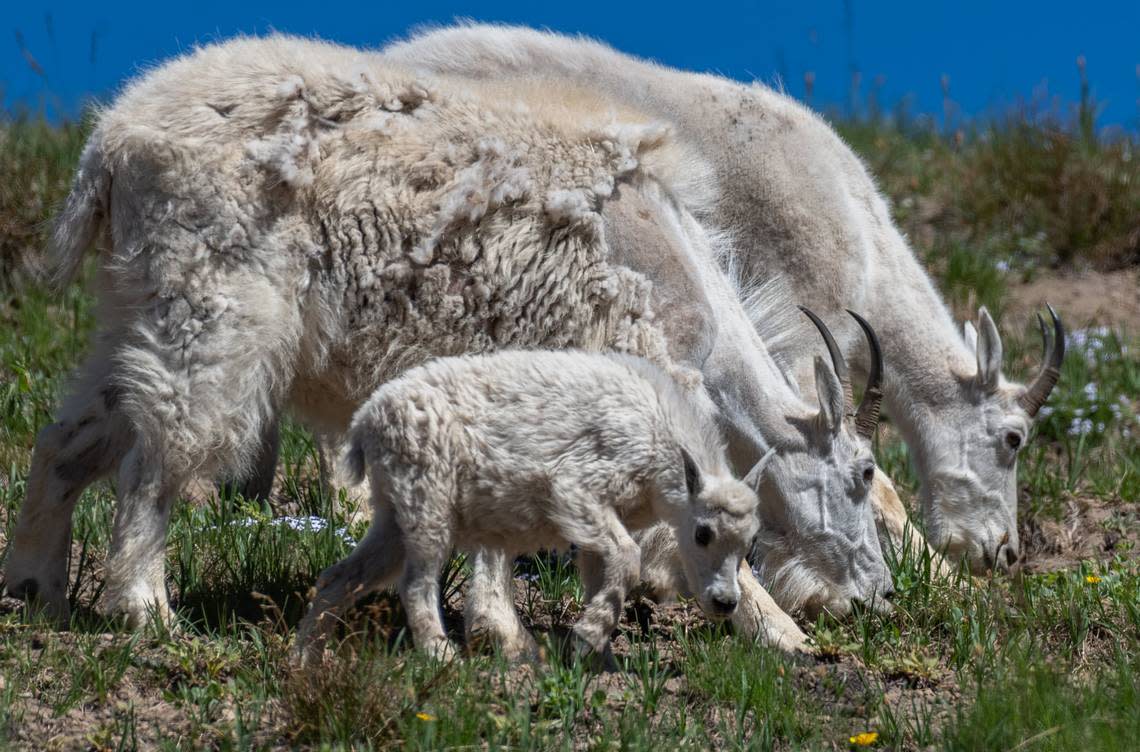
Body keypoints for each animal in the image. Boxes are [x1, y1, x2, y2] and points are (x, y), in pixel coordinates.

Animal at [291, 348, 766, 665]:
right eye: (702, 533)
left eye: (749, 545)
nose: (725, 602)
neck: (660, 442)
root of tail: (365, 421)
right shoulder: (577, 488)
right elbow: (628, 557)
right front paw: (584, 639)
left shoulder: (597, 520)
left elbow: (603, 574)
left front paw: (596, 658)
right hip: (428, 499)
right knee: (414, 584)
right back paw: (444, 658)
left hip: (393, 512)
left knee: (341, 576)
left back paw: (305, 659)